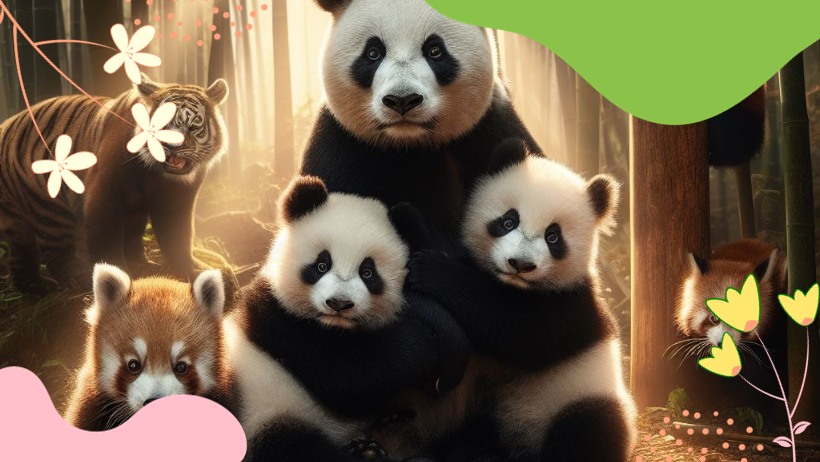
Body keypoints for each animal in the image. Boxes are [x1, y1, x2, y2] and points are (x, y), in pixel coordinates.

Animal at [224, 176, 469, 461]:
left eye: (368, 272)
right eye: (322, 265)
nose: (339, 303)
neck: (335, 328)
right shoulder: (279, 321)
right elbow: (349, 377)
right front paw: (423, 339)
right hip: (266, 411)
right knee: (294, 446)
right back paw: (365, 451)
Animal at [302, 0, 540, 248]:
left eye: (435, 51)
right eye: (373, 53)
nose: (402, 100)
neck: (409, 146)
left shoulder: (489, 131)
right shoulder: (341, 149)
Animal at [405, 139, 637, 461]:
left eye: (553, 237)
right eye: (508, 221)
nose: (520, 264)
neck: (512, 286)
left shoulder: (573, 305)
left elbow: (516, 327)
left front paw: (432, 270)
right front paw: (406, 219)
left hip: (578, 395)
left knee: (589, 429)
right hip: (478, 409)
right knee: (471, 439)